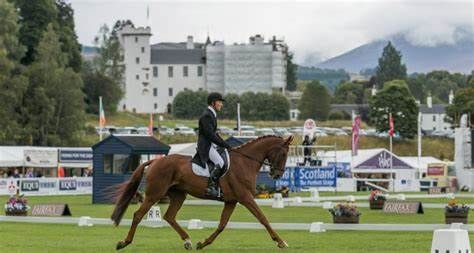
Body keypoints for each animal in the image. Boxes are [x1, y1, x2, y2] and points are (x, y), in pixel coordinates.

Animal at [113, 135, 294, 250]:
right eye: (284, 153)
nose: (277, 175)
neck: (245, 162)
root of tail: (155, 161)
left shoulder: (231, 200)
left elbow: (222, 225)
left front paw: (203, 243)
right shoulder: (245, 197)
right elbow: (263, 218)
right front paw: (281, 242)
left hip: (179, 195)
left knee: (169, 216)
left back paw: (187, 241)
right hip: (154, 194)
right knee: (138, 215)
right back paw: (124, 243)